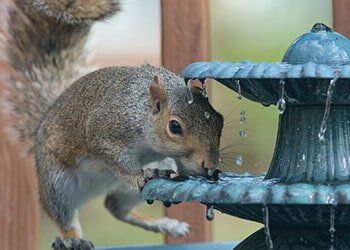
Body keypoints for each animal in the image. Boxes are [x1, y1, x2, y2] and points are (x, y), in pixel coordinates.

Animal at [0, 0, 223, 249]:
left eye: (219, 120)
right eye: (175, 127)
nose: (210, 165)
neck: (142, 111)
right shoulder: (105, 129)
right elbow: (112, 155)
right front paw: (136, 175)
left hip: (131, 189)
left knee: (115, 207)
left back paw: (164, 223)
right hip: (58, 183)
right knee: (66, 219)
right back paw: (72, 240)